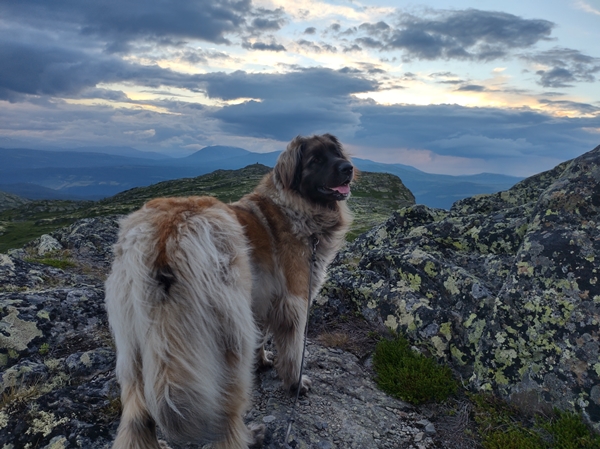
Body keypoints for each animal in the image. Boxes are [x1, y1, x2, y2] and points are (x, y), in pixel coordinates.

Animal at [105, 134, 354, 448]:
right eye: (316, 160)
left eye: (336, 153)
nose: (348, 168)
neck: (294, 206)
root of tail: (165, 237)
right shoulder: (294, 302)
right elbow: (294, 350)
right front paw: (295, 382)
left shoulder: (260, 300)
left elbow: (263, 335)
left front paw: (264, 362)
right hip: (228, 337)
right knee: (227, 414)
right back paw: (250, 435)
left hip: (132, 340)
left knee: (136, 416)